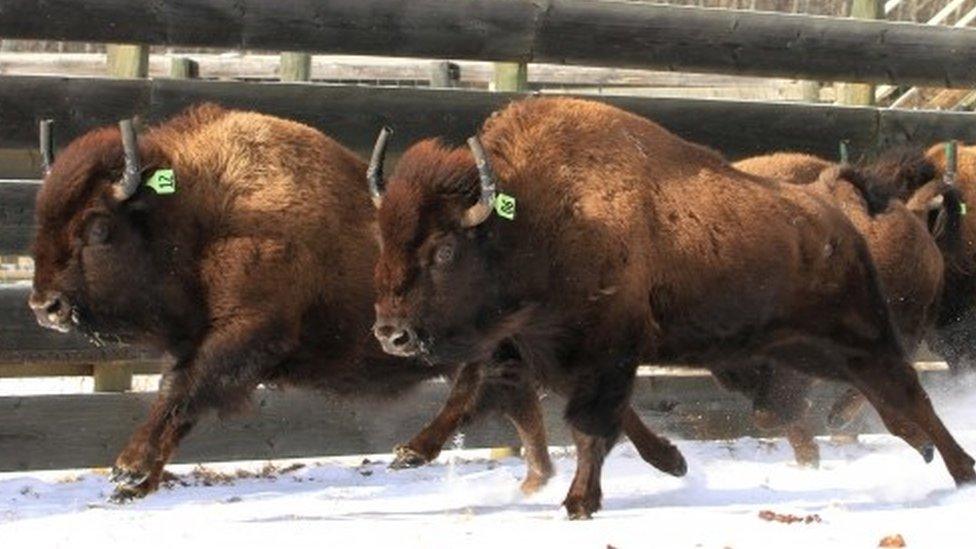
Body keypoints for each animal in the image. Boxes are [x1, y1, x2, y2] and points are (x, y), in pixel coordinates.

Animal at [26, 106, 688, 500]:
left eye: (98, 227)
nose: (43, 306)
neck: (202, 213)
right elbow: (179, 395)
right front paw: (134, 483)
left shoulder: (246, 333)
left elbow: (181, 390)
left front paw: (127, 470)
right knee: (518, 395)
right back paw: (537, 475)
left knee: (518, 392)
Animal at [368, 95, 976, 520]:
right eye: (384, 238)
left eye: (444, 249)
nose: (390, 333)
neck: (532, 217)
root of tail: (830, 208)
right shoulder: (535, 348)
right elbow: (475, 395)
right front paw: (409, 452)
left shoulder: (603, 350)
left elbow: (590, 423)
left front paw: (580, 502)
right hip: (802, 350)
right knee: (877, 400)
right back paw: (927, 452)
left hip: (858, 335)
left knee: (907, 392)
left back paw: (960, 469)